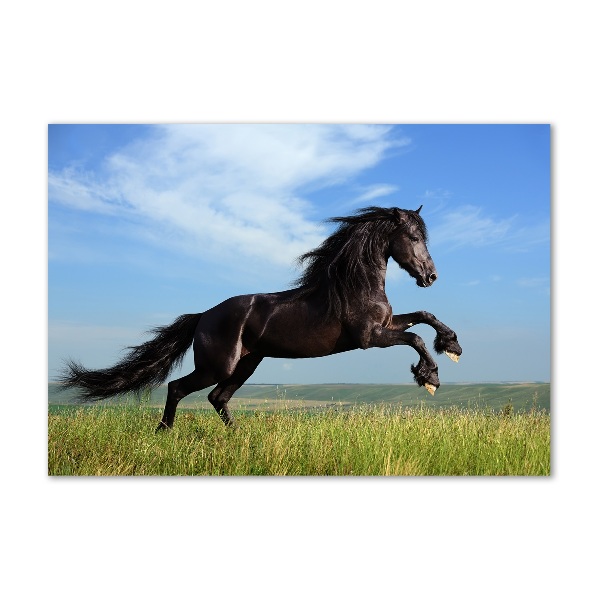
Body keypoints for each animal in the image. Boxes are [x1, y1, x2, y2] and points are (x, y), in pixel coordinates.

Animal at [61, 207, 462, 432]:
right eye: (413, 236)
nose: (431, 276)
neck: (354, 285)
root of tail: (203, 316)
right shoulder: (369, 337)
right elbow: (416, 338)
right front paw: (430, 378)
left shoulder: (387, 325)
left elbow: (424, 316)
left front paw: (452, 345)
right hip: (219, 365)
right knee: (179, 388)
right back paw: (164, 433)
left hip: (247, 363)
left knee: (217, 398)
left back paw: (239, 437)